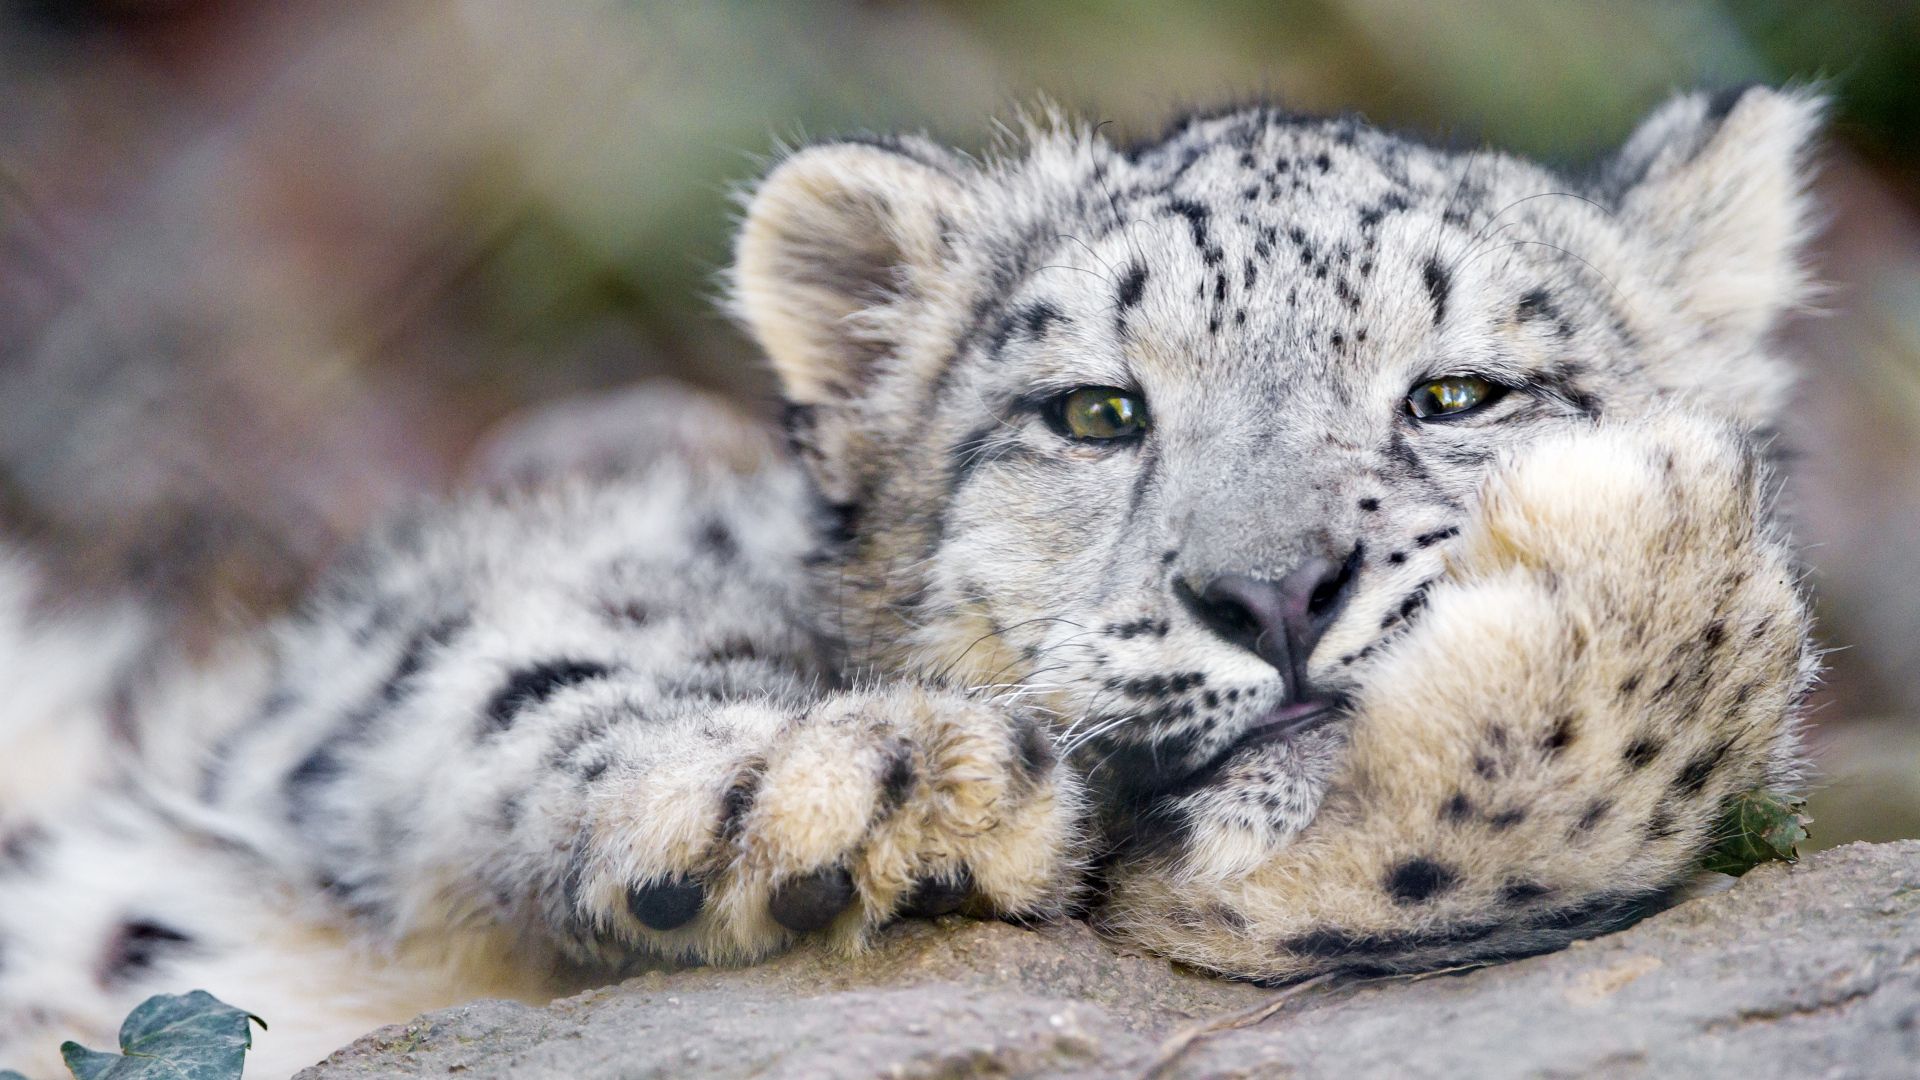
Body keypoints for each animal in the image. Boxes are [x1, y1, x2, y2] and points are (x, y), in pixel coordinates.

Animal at [0, 85, 1820, 1076]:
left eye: (1457, 393)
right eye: (1096, 410)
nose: (1277, 593)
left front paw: (1651, 566)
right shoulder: (408, 642)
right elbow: (521, 662)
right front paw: (848, 791)